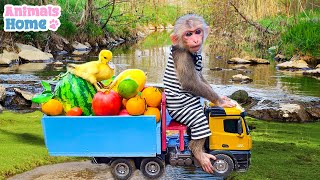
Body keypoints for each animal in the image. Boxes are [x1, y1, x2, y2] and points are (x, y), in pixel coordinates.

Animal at [162, 13, 235, 174]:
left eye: (197, 32)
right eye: (188, 34)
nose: (195, 39)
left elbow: (200, 77)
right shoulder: (183, 57)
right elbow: (191, 82)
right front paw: (220, 101)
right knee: (199, 122)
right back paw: (198, 152)